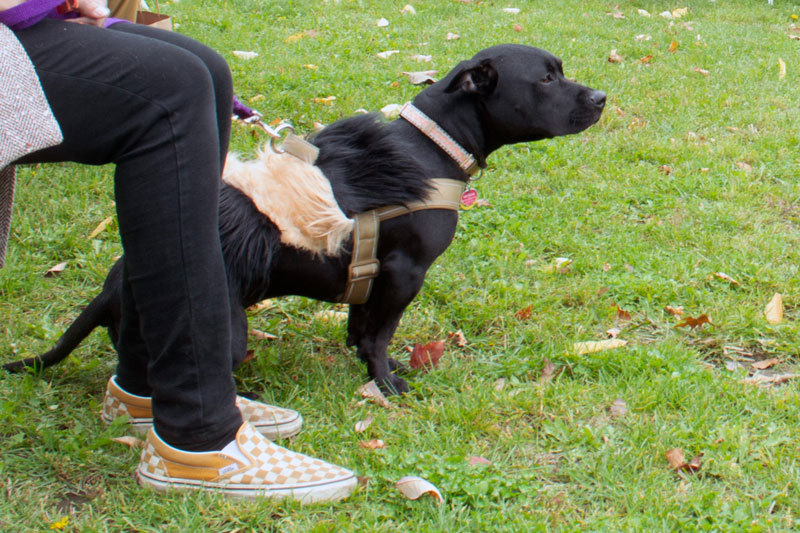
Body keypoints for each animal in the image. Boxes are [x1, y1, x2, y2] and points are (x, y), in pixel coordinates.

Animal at [6, 44, 604, 394]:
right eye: (546, 79)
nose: (600, 96)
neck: (432, 147)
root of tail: (117, 280)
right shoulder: (404, 272)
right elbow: (380, 336)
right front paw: (386, 385)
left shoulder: (372, 273)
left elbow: (361, 328)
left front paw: (372, 367)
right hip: (223, 332)